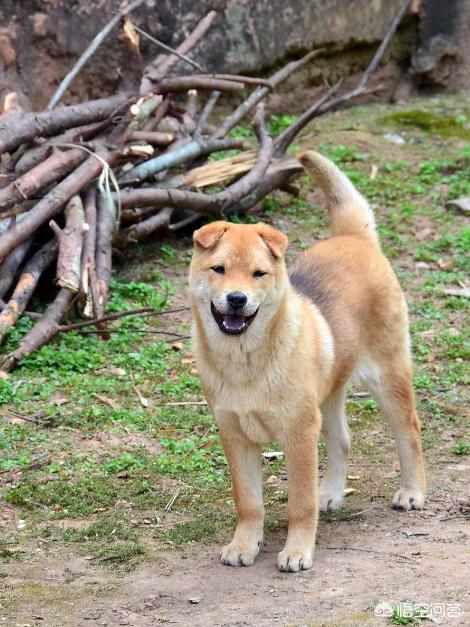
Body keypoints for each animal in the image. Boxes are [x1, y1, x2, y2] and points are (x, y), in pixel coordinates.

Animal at [187, 151, 426, 576]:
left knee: (409, 432)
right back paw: (331, 493)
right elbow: (248, 502)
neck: (246, 362)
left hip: (388, 378)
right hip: (329, 394)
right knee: (342, 439)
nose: (236, 299)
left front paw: (298, 551)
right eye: (219, 269)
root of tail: (355, 237)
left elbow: (300, 503)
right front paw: (244, 544)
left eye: (258, 274)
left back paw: (412, 492)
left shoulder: (298, 434)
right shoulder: (235, 435)